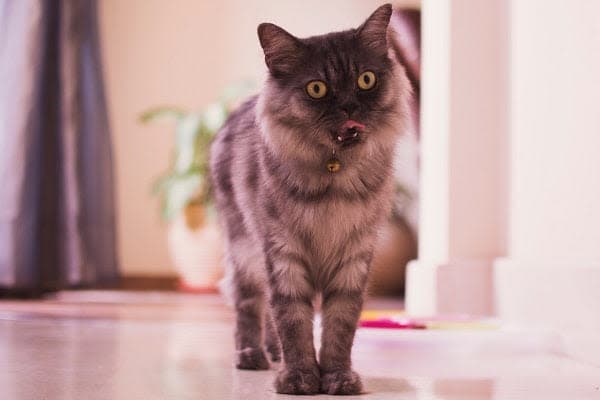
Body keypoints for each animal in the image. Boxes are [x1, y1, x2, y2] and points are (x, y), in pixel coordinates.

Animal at [209, 3, 410, 396]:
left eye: (366, 80)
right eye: (317, 88)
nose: (349, 107)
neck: (335, 176)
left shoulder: (353, 257)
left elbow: (338, 326)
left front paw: (337, 378)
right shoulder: (283, 254)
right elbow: (293, 321)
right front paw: (299, 377)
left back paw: (272, 353)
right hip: (244, 251)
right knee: (249, 306)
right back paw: (251, 355)